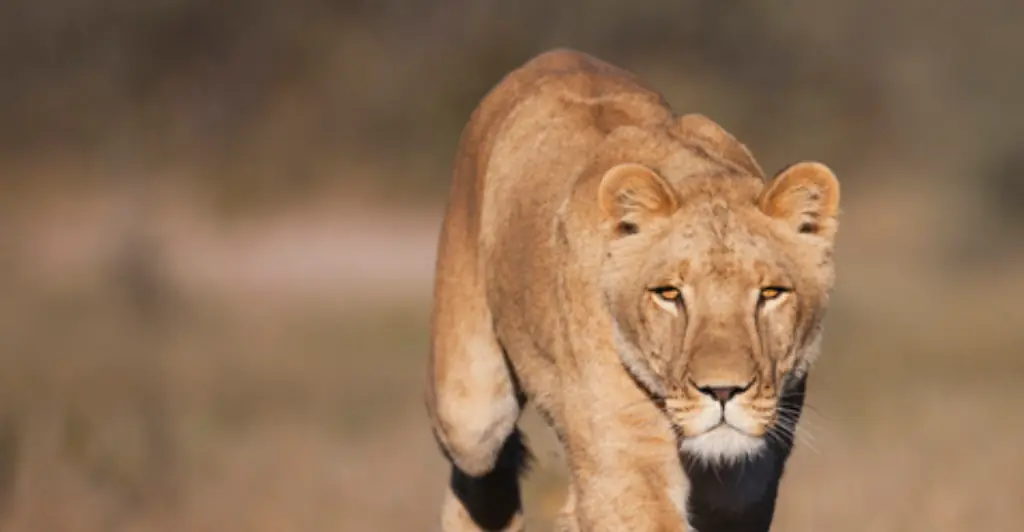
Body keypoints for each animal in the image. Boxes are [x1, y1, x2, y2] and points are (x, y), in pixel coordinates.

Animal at [426, 48, 840, 532]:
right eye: (669, 294)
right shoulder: (624, 465)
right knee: (479, 464)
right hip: (470, 409)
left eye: (770, 294)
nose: (723, 392)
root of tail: (556, 54)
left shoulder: (746, 484)